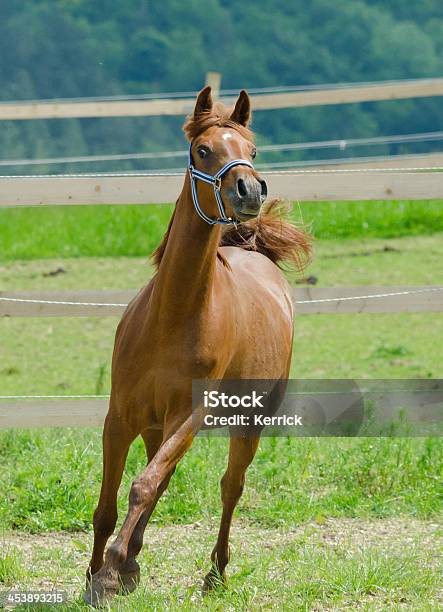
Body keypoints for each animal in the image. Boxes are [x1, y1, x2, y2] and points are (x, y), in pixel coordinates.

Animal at [85, 87, 310, 608]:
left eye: (252, 150)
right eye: (203, 150)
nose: (249, 191)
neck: (171, 317)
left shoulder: (188, 416)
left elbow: (144, 485)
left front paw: (108, 576)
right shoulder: (120, 416)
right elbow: (109, 503)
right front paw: (98, 573)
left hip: (248, 421)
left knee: (230, 487)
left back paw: (214, 574)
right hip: (153, 425)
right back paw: (132, 563)